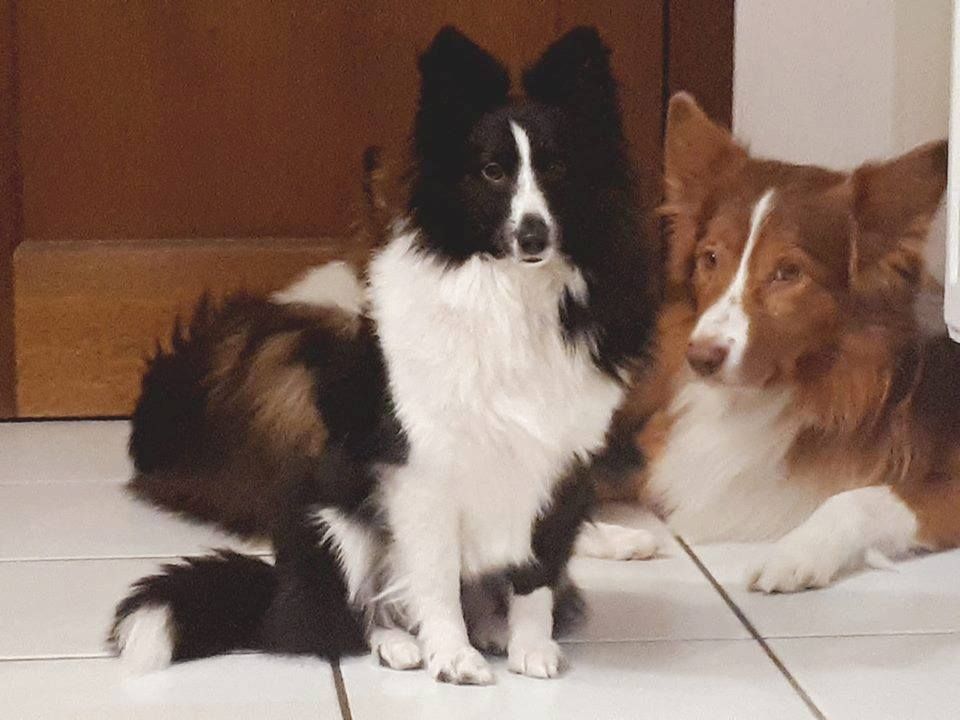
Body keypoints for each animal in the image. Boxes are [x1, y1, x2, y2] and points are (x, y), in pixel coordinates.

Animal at [110, 26, 661, 684]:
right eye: (492, 171)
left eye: (555, 168)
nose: (533, 235)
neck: (510, 296)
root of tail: (277, 598)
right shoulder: (421, 471)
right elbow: (436, 579)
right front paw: (451, 656)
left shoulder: (559, 465)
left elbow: (537, 574)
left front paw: (532, 646)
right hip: (330, 519)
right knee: (356, 613)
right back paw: (402, 643)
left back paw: (500, 625)